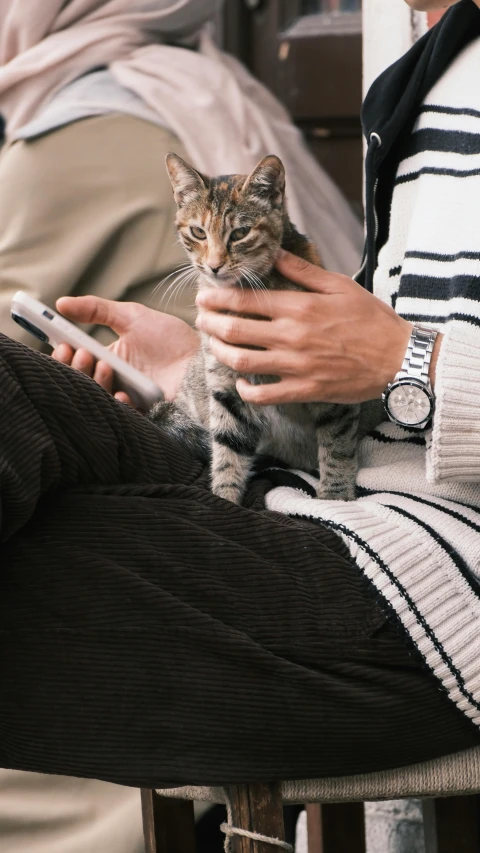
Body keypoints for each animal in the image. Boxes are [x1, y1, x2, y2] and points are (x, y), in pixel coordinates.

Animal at [150, 151, 360, 506]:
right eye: (198, 232)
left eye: (240, 233)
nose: (214, 265)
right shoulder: (225, 383)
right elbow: (228, 447)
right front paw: (225, 500)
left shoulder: (333, 382)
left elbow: (338, 442)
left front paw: (336, 495)